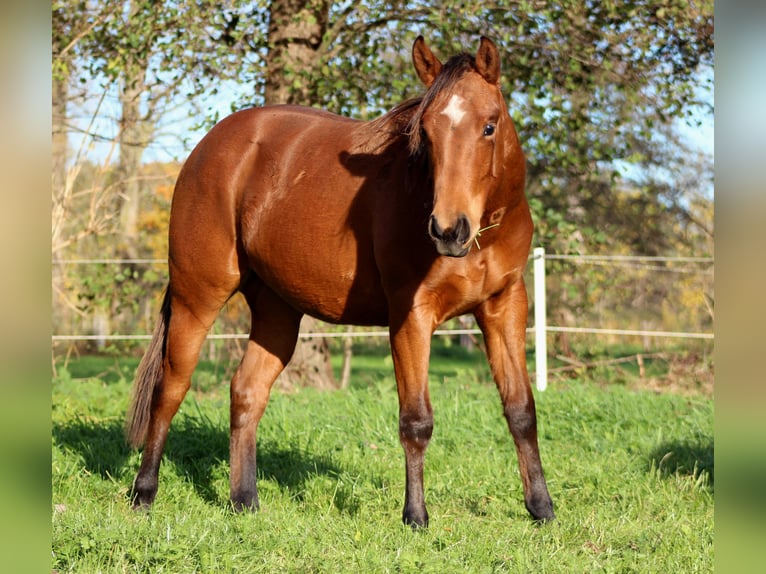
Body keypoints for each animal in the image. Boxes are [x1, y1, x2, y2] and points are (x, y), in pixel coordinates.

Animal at [125, 35, 555, 527]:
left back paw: (244, 501)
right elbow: (416, 420)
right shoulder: (411, 315)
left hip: (277, 311)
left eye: (489, 126)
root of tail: (208, 147)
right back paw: (143, 493)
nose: (449, 230)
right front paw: (415, 516)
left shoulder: (505, 305)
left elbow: (521, 410)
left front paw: (542, 508)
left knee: (247, 392)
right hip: (197, 297)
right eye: (426, 133)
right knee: (170, 389)